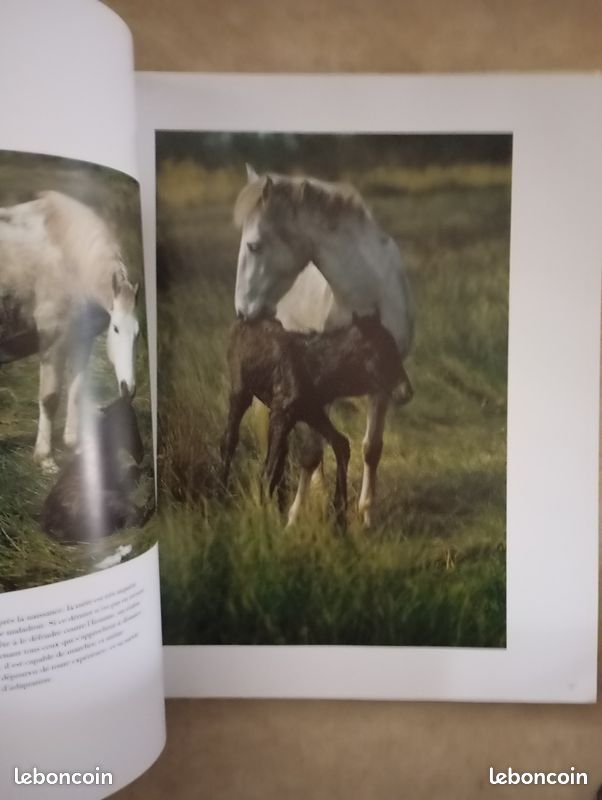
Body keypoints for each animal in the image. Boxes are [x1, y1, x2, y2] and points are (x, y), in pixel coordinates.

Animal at [0, 190, 139, 473]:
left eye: (138, 333)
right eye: (116, 329)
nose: (128, 388)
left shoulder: (81, 340)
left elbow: (75, 391)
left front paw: (76, 446)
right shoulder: (53, 342)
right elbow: (50, 397)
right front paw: (45, 458)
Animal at [234, 166, 414, 527]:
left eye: (254, 246)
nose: (242, 312)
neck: (366, 296)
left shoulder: (383, 387)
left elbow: (371, 449)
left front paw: (366, 516)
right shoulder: (319, 393)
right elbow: (311, 453)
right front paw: (293, 518)